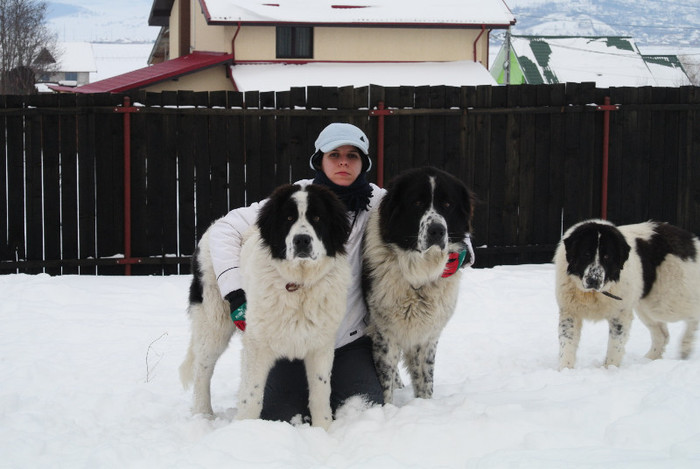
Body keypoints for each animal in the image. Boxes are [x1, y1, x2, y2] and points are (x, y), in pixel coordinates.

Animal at [179, 183, 350, 428]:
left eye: (318, 217)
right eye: (288, 218)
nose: (301, 240)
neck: (299, 286)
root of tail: (212, 227)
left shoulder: (321, 345)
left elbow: (320, 393)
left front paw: (323, 430)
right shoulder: (257, 345)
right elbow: (251, 396)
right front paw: (246, 429)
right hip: (213, 324)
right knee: (202, 370)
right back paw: (203, 416)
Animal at [360, 167, 476, 402]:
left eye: (447, 204)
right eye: (417, 203)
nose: (437, 230)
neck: (419, 274)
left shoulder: (427, 335)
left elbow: (425, 379)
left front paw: (425, 404)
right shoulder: (384, 331)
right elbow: (385, 381)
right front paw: (387, 407)